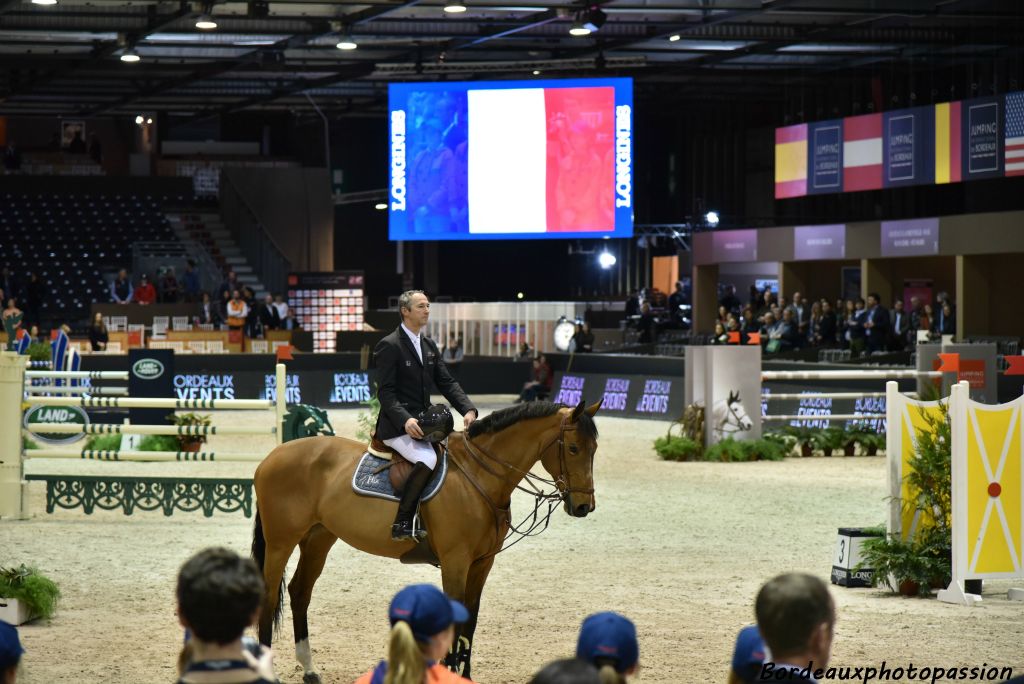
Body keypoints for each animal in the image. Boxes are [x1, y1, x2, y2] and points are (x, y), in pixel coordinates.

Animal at [248, 397, 598, 679]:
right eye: (573, 448)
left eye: (593, 449)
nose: (584, 507)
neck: (478, 477)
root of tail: (271, 458)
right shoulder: (456, 562)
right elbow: (455, 618)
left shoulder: (482, 564)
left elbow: (470, 620)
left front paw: (464, 675)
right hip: (281, 542)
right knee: (269, 596)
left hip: (318, 539)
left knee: (300, 592)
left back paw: (309, 669)